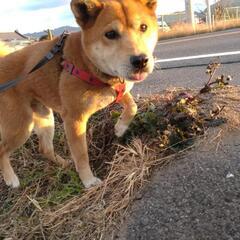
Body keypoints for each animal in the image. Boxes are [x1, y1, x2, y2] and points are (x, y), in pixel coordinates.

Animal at [0, 0, 159, 188]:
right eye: (110, 34)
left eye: (143, 27)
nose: (140, 60)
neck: (87, 63)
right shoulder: (74, 119)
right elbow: (82, 155)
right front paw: (88, 181)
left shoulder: (118, 90)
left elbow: (132, 106)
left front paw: (120, 128)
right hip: (20, 126)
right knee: (2, 150)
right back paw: (11, 179)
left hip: (45, 117)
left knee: (44, 149)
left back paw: (65, 164)